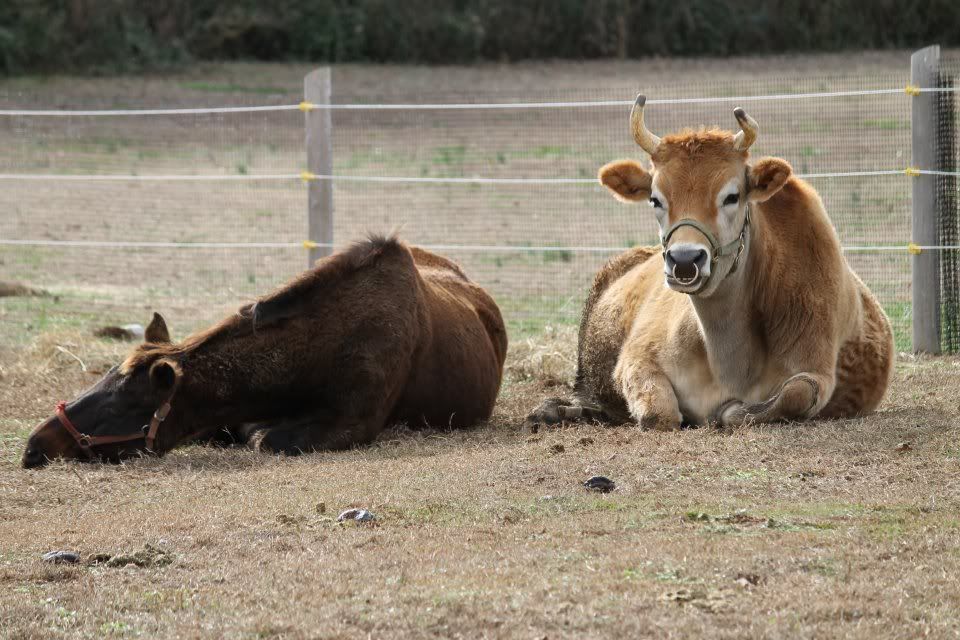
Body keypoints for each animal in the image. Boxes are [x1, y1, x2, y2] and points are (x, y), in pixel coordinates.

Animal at [528, 96, 894, 430]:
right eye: (655, 199)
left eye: (732, 196)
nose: (684, 259)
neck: (729, 356)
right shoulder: (636, 359)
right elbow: (659, 414)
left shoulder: (816, 364)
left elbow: (794, 394)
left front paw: (730, 412)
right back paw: (557, 411)